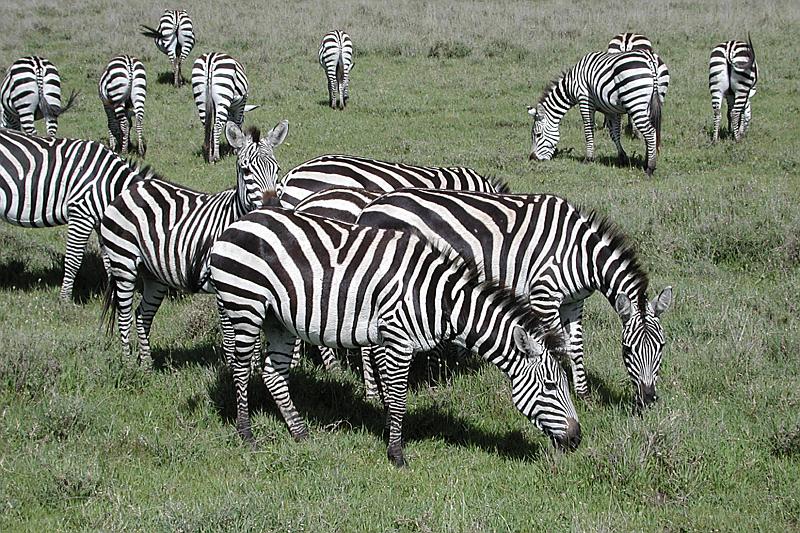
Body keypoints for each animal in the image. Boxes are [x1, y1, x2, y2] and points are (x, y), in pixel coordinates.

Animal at [0, 129, 152, 300]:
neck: (109, 185)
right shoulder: (81, 213)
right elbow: (74, 259)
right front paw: (64, 299)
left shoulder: (102, 223)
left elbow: (111, 263)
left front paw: (113, 297)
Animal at [101, 121, 288, 369]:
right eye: (246, 170)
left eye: (276, 169)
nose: (272, 205)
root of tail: (133, 188)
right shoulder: (222, 289)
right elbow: (231, 334)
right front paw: (233, 366)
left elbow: (253, 333)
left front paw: (255, 366)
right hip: (123, 263)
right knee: (124, 313)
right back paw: (129, 363)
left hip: (154, 274)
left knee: (142, 314)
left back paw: (147, 365)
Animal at [206, 207, 581, 466]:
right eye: (551, 386)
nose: (577, 439)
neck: (440, 299)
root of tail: (235, 225)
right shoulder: (398, 337)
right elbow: (398, 398)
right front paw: (397, 454)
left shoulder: (394, 341)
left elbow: (391, 396)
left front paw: (388, 432)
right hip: (245, 304)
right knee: (241, 368)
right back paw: (247, 435)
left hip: (277, 319)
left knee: (272, 373)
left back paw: (300, 433)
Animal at [355, 189, 673, 411]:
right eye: (628, 350)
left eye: (661, 348)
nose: (648, 400)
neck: (580, 253)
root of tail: (369, 208)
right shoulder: (545, 294)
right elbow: (558, 347)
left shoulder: (574, 302)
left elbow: (576, 348)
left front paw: (583, 395)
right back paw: (374, 394)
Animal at [527, 49, 666, 176]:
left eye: (538, 135)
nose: (533, 159)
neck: (571, 85)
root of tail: (649, 59)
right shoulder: (611, 109)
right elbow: (614, 133)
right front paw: (622, 158)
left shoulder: (584, 100)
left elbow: (588, 130)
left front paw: (588, 158)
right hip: (652, 102)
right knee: (652, 131)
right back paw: (646, 161)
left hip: (635, 101)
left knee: (650, 132)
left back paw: (650, 168)